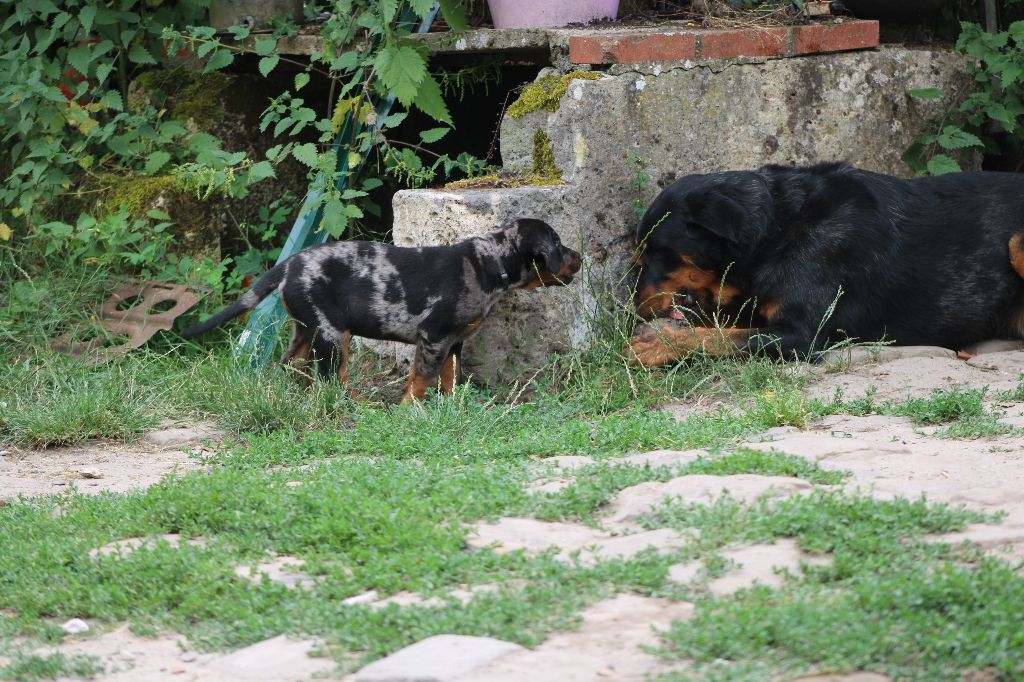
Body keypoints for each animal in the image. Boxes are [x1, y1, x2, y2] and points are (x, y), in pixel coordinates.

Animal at [183, 218, 581, 399]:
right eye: (559, 244)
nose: (580, 257)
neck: (490, 263)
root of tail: (289, 265)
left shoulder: (453, 343)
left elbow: (449, 378)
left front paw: (453, 405)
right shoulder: (433, 337)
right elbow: (420, 380)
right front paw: (410, 411)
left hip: (307, 329)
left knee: (294, 365)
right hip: (334, 334)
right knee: (333, 378)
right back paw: (358, 405)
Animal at [626, 161, 1024, 364]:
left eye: (657, 252)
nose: (634, 309)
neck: (776, 229)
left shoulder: (800, 335)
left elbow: (716, 338)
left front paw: (656, 346)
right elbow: (715, 329)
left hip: (1017, 241)